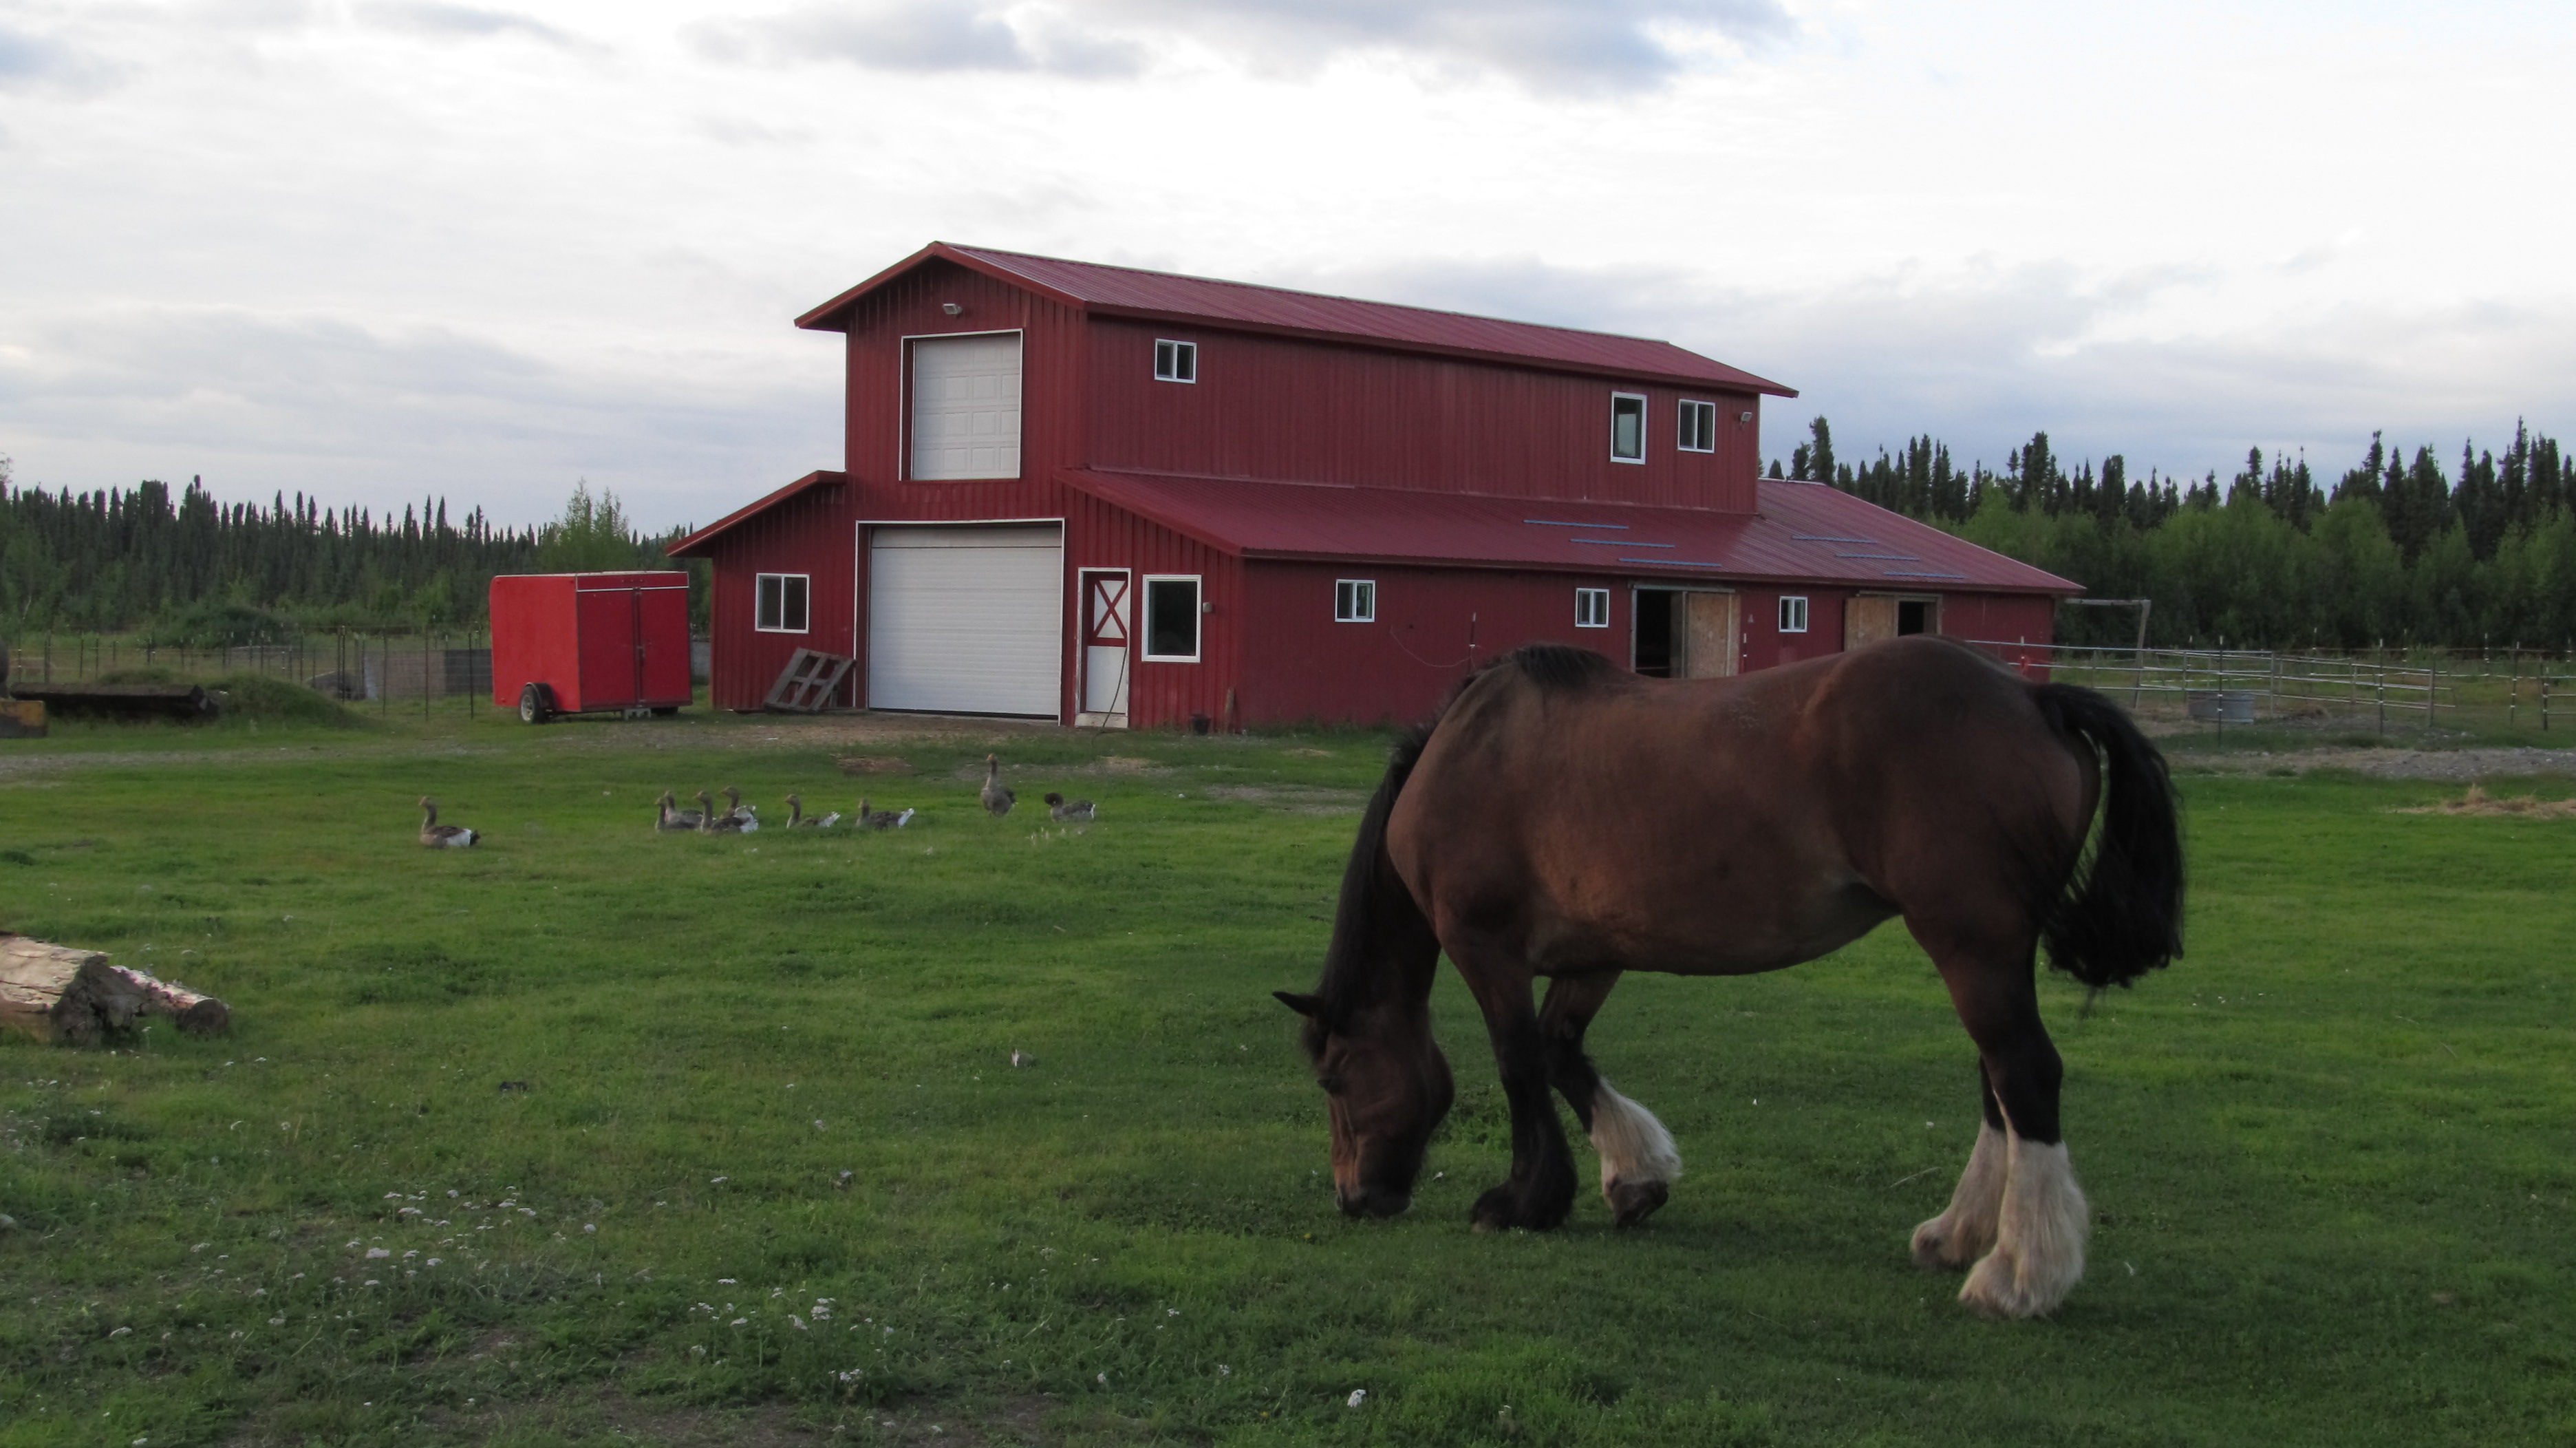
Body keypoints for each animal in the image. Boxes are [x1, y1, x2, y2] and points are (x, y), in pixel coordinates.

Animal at [1278, 636, 2184, 1314]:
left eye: (1333, 1078)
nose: (1355, 1198)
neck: (1468, 753)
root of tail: (2032, 698)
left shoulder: (1485, 947)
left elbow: (1519, 1062)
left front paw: (1526, 1200)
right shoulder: (1598, 953)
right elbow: (1563, 1051)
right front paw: (1633, 1179)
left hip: (1973, 946)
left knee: (2024, 1074)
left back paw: (2018, 1273)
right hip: (1989, 955)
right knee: (1998, 1084)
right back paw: (1956, 1234)